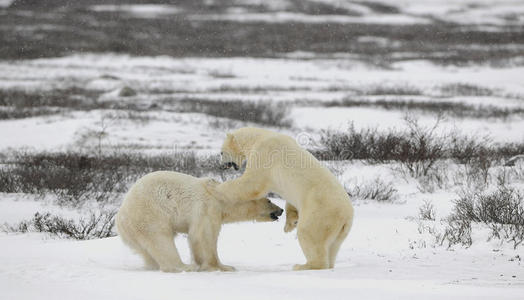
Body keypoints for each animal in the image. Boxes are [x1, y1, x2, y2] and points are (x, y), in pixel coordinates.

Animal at [117, 171, 284, 272]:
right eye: (269, 200)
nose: (281, 210)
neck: (221, 196)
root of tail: (120, 217)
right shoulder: (208, 208)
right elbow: (204, 236)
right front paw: (222, 267)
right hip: (150, 215)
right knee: (161, 241)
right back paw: (185, 267)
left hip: (135, 231)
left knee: (147, 251)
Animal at [211, 127, 354, 270]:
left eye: (221, 152)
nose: (221, 166)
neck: (259, 137)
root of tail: (346, 216)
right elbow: (290, 201)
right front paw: (289, 225)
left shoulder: (264, 154)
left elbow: (252, 184)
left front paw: (217, 188)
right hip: (340, 230)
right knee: (333, 246)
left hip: (321, 211)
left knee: (309, 233)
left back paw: (302, 265)